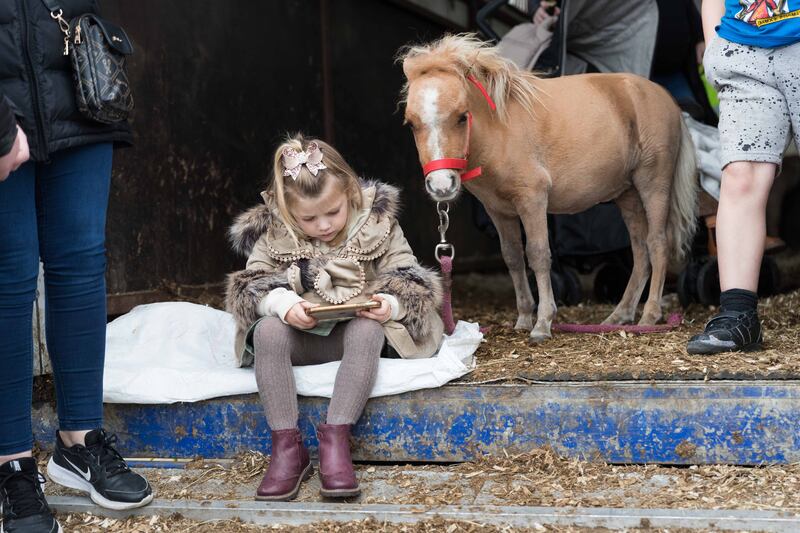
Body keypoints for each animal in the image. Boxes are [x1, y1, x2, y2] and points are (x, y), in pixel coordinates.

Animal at [399, 34, 697, 343]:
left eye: (461, 116)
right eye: (411, 123)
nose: (441, 186)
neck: (499, 130)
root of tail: (667, 100)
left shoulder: (533, 200)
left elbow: (539, 255)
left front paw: (543, 323)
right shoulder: (499, 211)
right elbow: (513, 258)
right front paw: (523, 319)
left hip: (653, 186)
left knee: (657, 244)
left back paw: (650, 315)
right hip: (627, 196)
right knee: (640, 251)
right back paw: (621, 315)